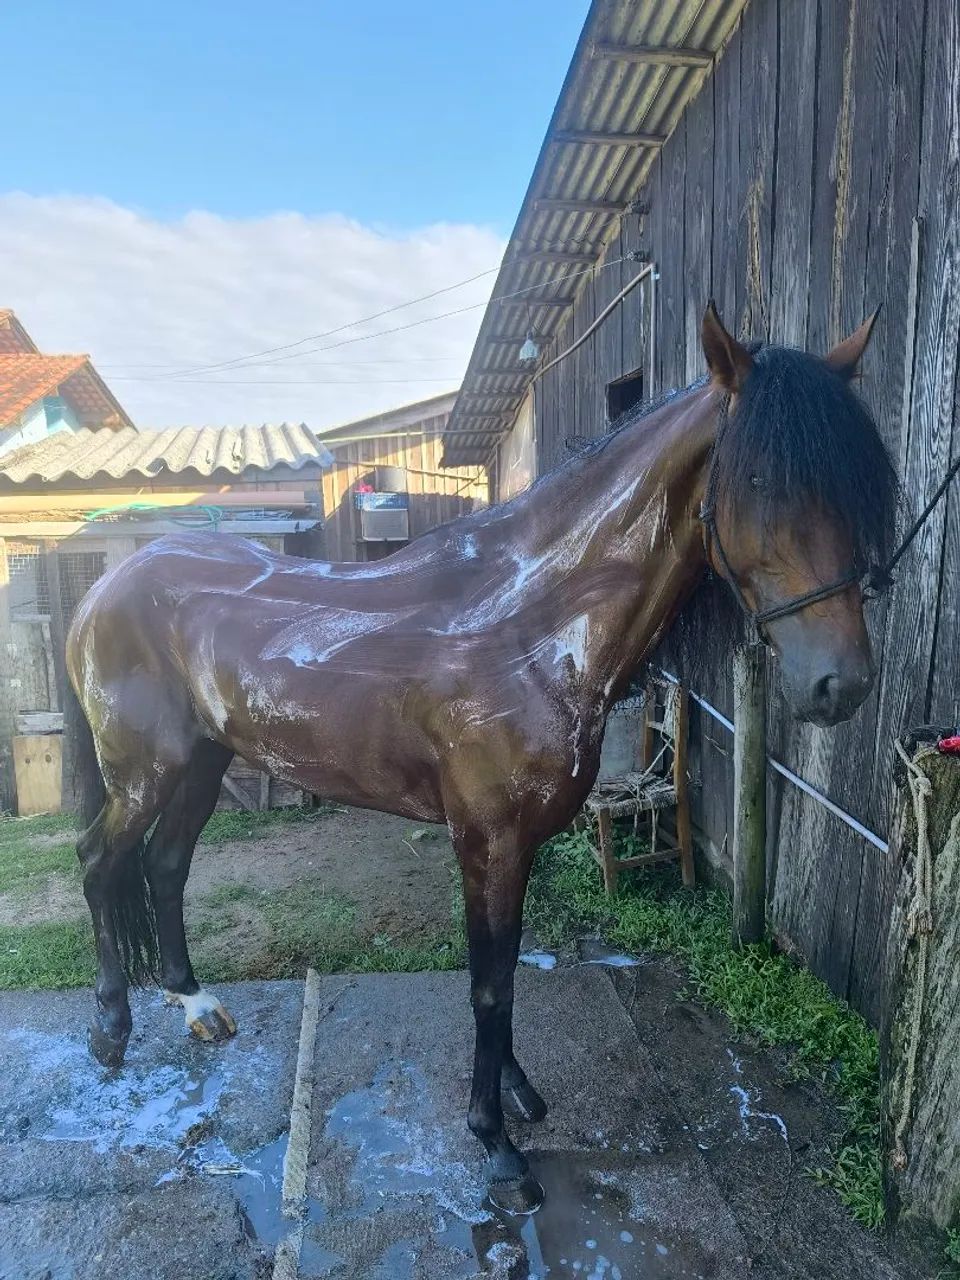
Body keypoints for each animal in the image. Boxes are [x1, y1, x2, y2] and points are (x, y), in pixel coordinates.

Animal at [65, 304, 897, 1214]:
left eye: (855, 486)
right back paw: (109, 1034)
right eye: (756, 483)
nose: (842, 683)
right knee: (102, 862)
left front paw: (519, 1093)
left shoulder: (518, 843)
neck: (528, 624)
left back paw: (198, 1007)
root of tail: (103, 591)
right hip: (145, 773)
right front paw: (497, 1147)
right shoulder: (487, 840)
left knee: (166, 868)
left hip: (204, 765)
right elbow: (488, 984)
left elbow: (508, 972)